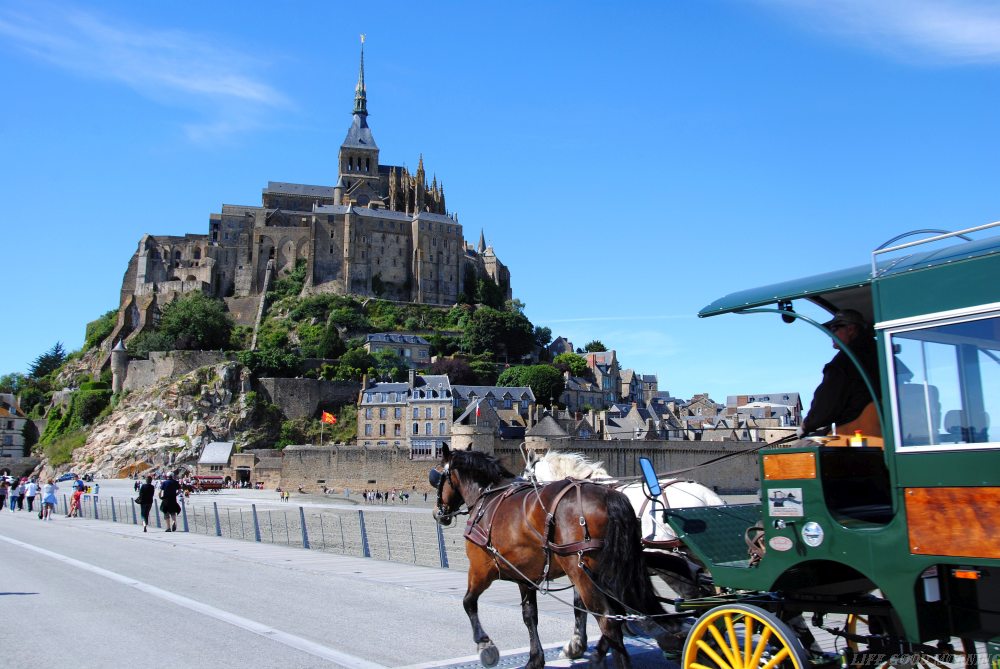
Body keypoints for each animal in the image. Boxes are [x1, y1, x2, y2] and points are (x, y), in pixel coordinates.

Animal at [428, 444, 664, 668]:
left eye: (437, 476)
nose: (438, 513)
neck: (487, 496)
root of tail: (610, 496)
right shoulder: (525, 576)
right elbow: (530, 616)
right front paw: (536, 658)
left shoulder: (481, 568)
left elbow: (468, 602)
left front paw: (486, 646)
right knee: (617, 615)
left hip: (582, 571)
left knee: (608, 620)